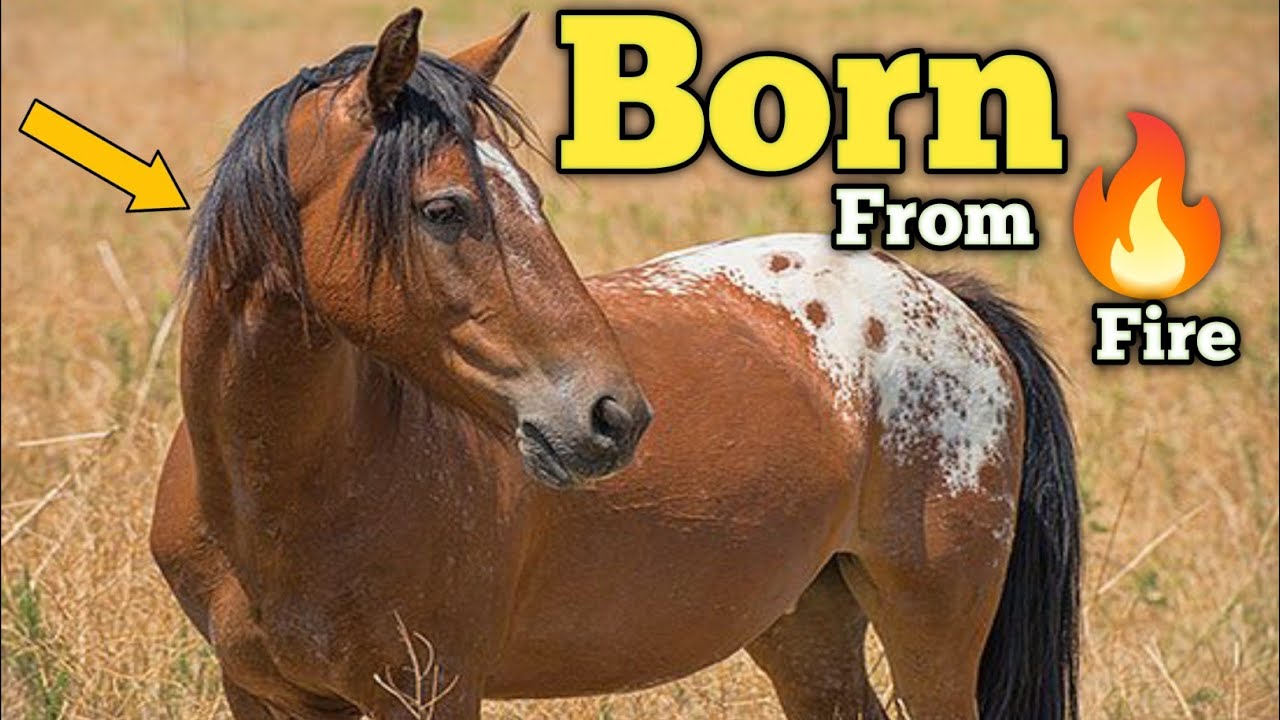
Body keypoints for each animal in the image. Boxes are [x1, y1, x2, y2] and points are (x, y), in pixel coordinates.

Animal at [150, 9, 1080, 720]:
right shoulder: (262, 695)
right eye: (444, 210)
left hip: (932, 626)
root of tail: (948, 300)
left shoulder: (431, 691)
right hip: (804, 624)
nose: (613, 417)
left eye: (531, 197)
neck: (281, 498)